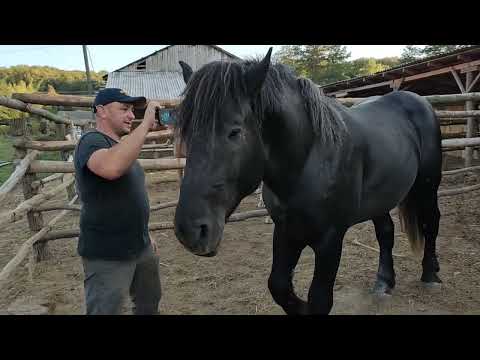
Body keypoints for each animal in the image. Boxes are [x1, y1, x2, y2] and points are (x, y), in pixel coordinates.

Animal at [172, 49, 442, 314]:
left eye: (235, 132)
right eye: (186, 131)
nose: (189, 231)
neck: (309, 161)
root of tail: (416, 99)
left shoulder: (330, 239)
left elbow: (319, 299)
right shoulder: (286, 231)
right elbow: (278, 285)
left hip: (427, 186)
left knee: (431, 223)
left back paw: (430, 275)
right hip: (381, 199)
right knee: (386, 231)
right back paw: (384, 283)